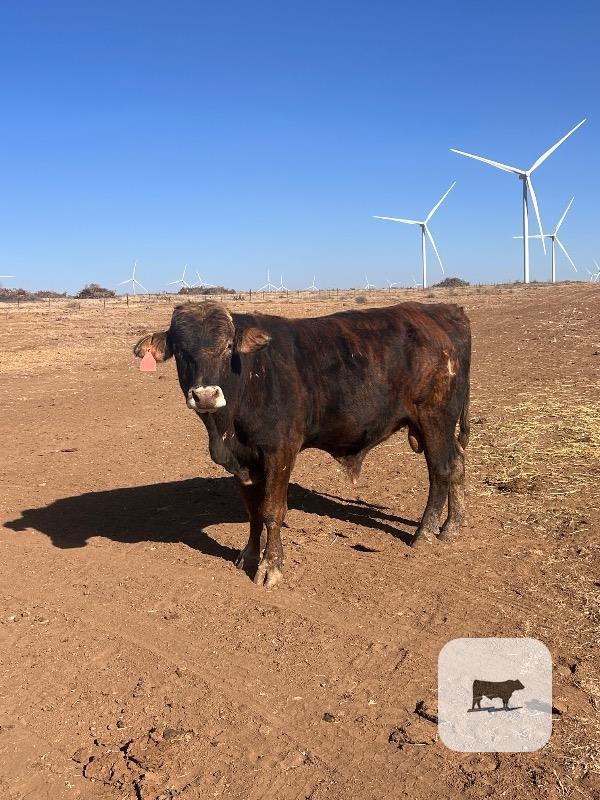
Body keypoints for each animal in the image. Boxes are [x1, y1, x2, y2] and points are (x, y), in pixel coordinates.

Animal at [134, 300, 471, 587]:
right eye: (180, 350)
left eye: (227, 346)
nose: (205, 396)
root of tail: (442, 311)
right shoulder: (244, 461)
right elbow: (253, 510)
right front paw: (250, 555)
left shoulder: (280, 451)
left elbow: (271, 510)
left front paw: (270, 565)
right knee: (457, 464)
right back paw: (452, 526)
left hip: (435, 419)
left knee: (441, 470)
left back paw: (425, 532)